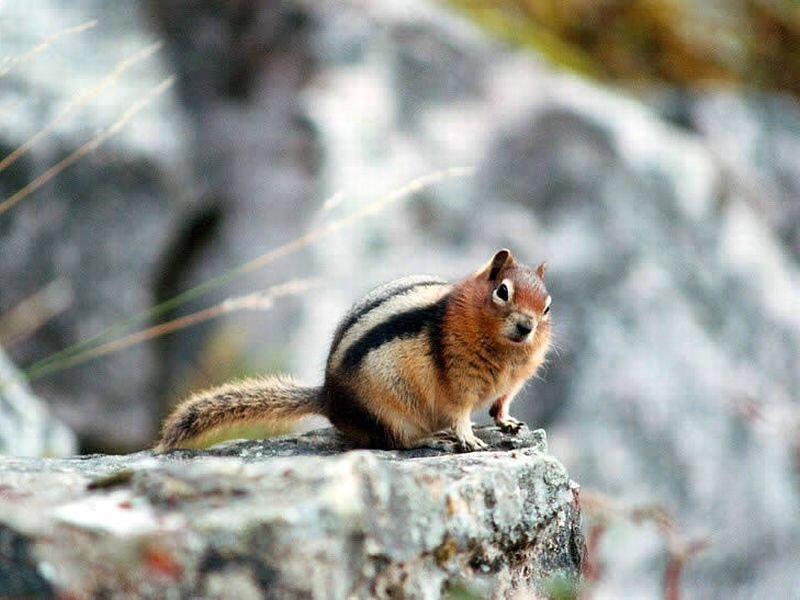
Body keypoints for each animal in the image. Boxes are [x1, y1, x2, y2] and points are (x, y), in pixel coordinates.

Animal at [156, 249, 552, 452]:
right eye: (502, 291)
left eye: (547, 306)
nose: (526, 327)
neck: (506, 353)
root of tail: (330, 398)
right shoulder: (458, 380)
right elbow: (460, 412)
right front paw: (468, 437)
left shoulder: (511, 384)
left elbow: (500, 405)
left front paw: (508, 422)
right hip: (387, 411)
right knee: (398, 443)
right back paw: (433, 439)